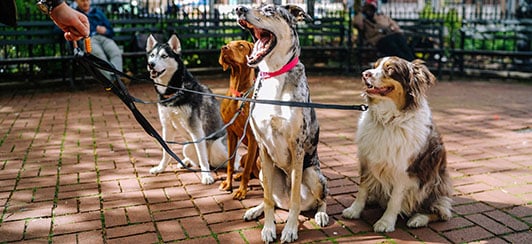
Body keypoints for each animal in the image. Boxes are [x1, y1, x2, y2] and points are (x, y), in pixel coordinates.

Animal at [144, 33, 234, 184]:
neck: (174, 91)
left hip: (218, 146)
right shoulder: (167, 127)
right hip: (187, 146)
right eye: (151, 55)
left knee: (222, 159)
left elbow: (202, 157)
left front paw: (207, 176)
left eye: (164, 56)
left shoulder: (196, 129)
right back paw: (185, 162)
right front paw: (160, 168)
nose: (151, 65)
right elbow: (166, 151)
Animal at [217, 40, 260, 200]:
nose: (223, 48)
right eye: (227, 44)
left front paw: (242, 191)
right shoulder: (231, 134)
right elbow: (230, 164)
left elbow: (247, 170)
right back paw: (238, 176)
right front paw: (228, 184)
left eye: (240, 45)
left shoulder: (252, 137)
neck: (239, 94)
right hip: (244, 156)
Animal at [237, 4, 328, 243]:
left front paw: (290, 229)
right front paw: (269, 229)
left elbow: (296, 198)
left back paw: (321, 214)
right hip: (262, 171)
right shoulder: (262, 147)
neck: (274, 74)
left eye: (269, 10)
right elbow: (268, 199)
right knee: (274, 200)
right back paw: (255, 210)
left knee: (321, 199)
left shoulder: (297, 148)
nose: (239, 8)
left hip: (313, 175)